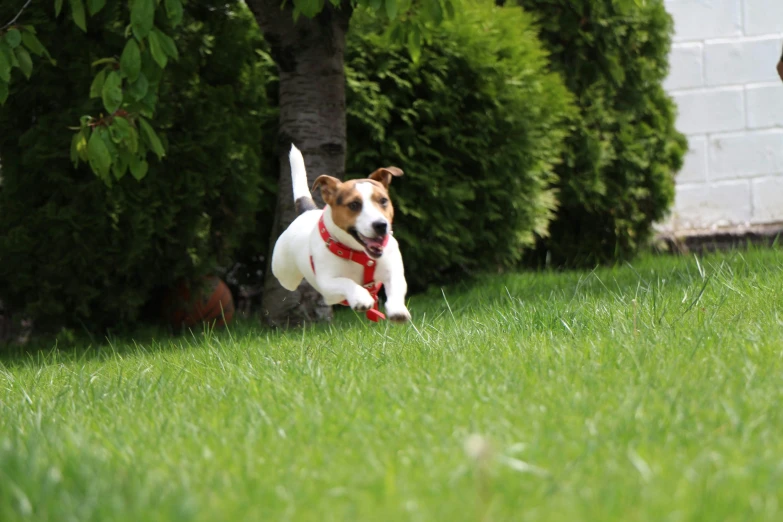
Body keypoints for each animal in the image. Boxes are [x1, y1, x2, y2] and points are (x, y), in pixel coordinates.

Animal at [272, 142, 414, 320]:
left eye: (383, 200)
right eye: (354, 204)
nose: (381, 225)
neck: (359, 253)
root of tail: (308, 212)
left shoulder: (393, 270)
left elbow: (396, 284)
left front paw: (397, 308)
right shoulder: (327, 282)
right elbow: (346, 282)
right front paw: (360, 298)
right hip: (284, 272)